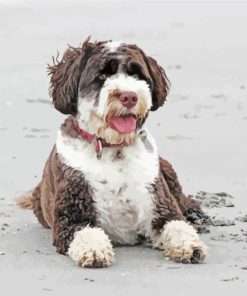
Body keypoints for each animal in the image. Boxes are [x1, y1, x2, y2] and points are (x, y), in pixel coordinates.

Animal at [17, 38, 208, 268]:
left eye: (137, 74)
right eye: (102, 76)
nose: (129, 96)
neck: (113, 148)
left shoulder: (161, 207)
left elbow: (177, 225)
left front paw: (190, 245)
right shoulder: (71, 217)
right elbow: (85, 231)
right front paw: (94, 250)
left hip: (165, 167)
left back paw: (196, 216)